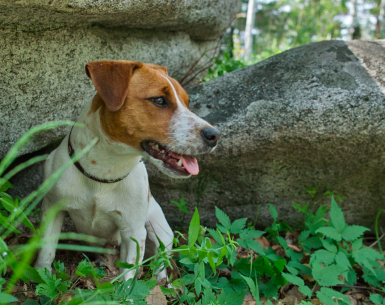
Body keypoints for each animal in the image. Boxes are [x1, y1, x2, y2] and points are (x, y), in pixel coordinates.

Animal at [34, 60, 220, 282]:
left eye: (187, 102)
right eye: (159, 100)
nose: (215, 135)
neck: (103, 172)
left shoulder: (133, 231)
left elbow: (128, 276)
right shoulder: (52, 209)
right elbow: (46, 251)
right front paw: (41, 276)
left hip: (159, 231)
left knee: (159, 262)